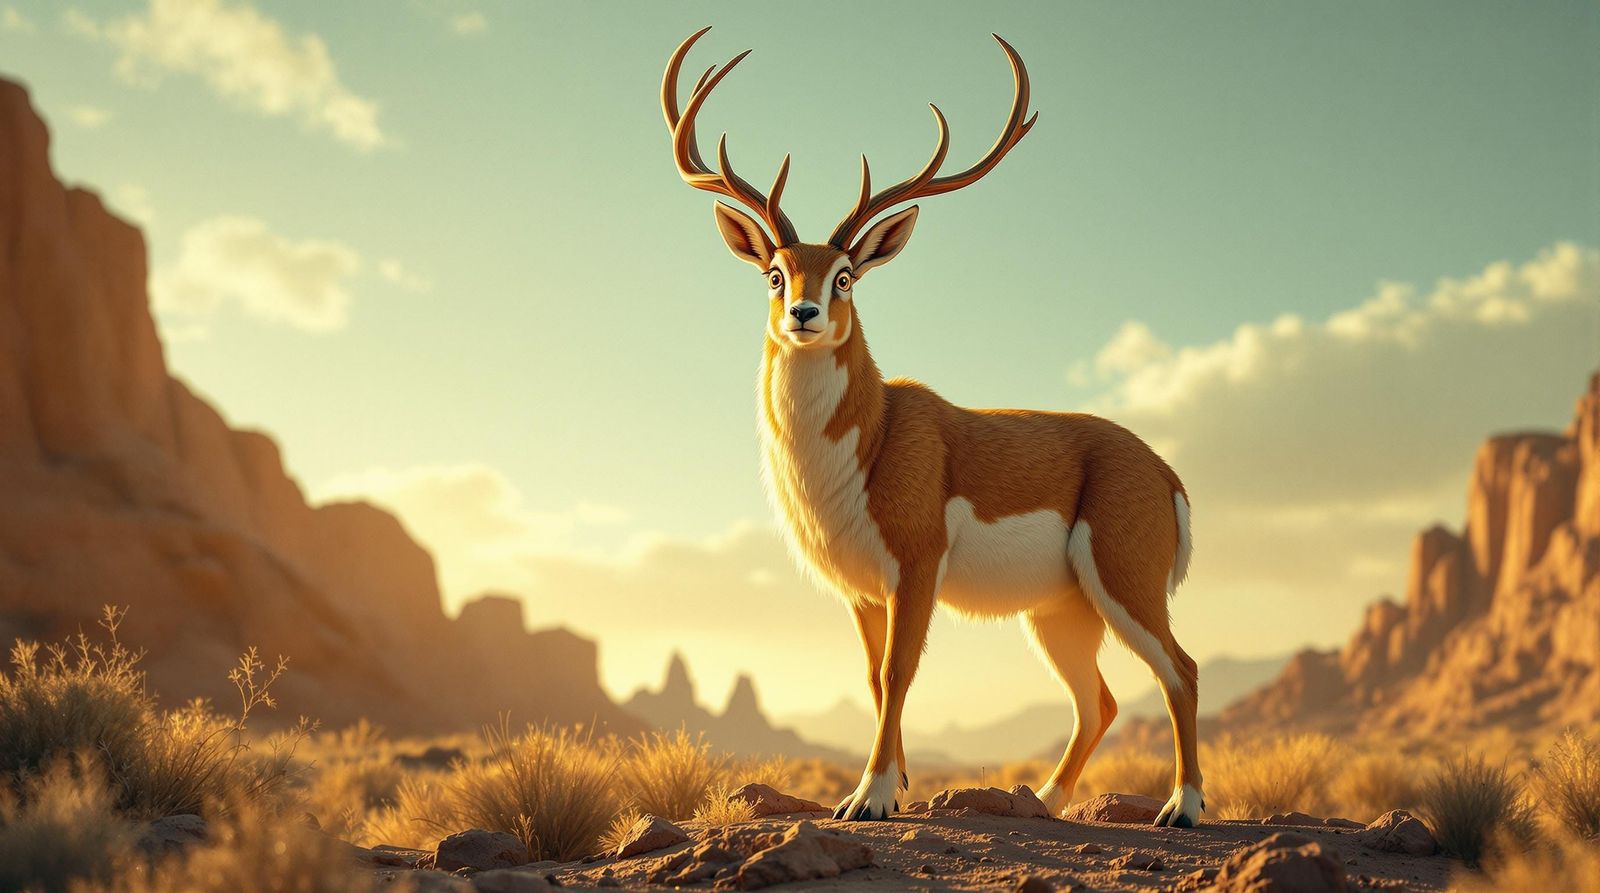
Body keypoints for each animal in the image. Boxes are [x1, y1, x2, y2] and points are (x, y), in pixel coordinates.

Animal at [661, 27, 1203, 827]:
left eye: (846, 274)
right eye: (775, 273)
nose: (804, 315)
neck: (871, 438)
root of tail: (1164, 471)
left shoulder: (915, 567)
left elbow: (898, 671)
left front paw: (870, 797)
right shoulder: (861, 589)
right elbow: (872, 675)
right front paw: (893, 788)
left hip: (1122, 582)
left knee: (1182, 671)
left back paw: (1184, 808)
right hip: (1061, 610)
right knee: (1098, 701)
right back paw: (1042, 800)